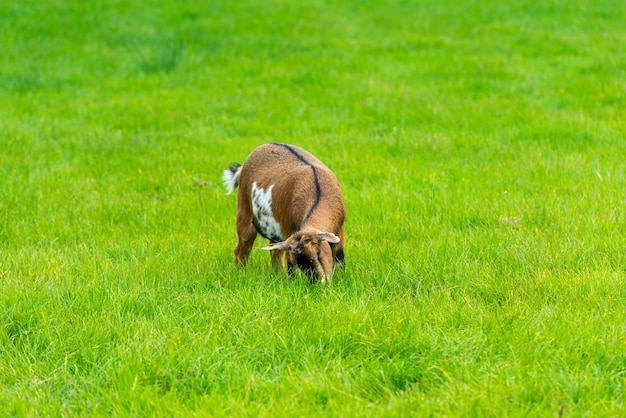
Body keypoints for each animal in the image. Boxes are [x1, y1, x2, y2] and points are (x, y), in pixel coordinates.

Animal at [221, 142, 346, 282]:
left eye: (318, 254)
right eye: (298, 262)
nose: (316, 282)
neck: (317, 191)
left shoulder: (339, 229)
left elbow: (339, 258)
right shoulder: (288, 229)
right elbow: (290, 267)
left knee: (274, 252)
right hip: (244, 213)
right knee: (242, 249)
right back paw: (240, 273)